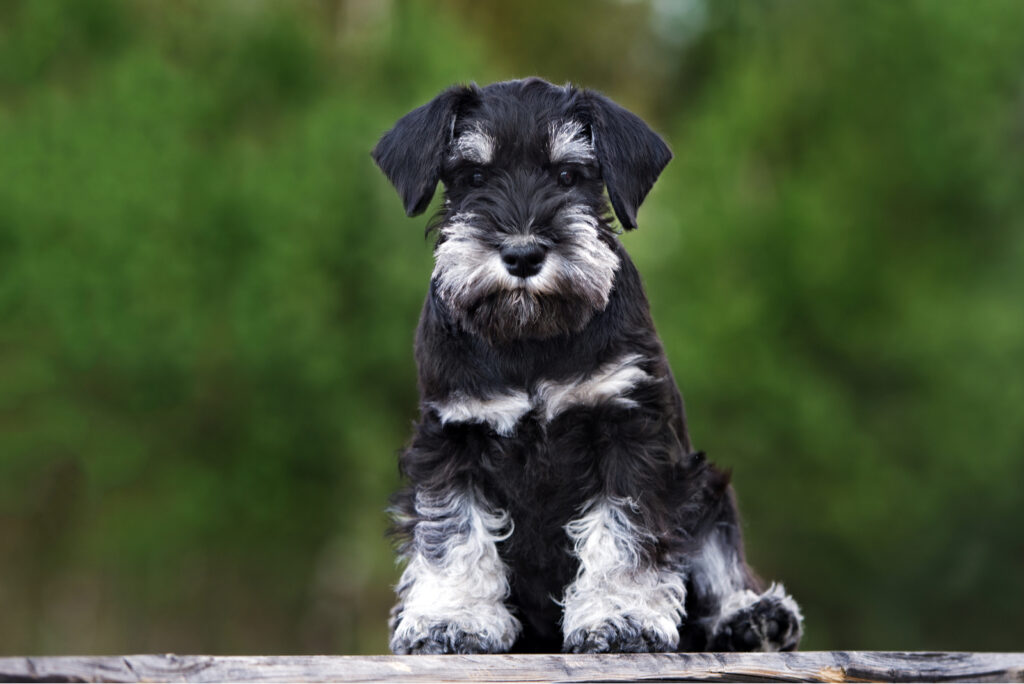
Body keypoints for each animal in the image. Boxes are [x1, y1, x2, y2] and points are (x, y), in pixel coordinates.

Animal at [372, 77, 802, 655]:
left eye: (568, 176)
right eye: (473, 177)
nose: (523, 254)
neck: (530, 336)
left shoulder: (628, 430)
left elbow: (624, 533)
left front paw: (621, 617)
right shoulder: (452, 437)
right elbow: (453, 530)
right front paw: (451, 618)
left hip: (705, 485)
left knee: (718, 563)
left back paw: (754, 616)